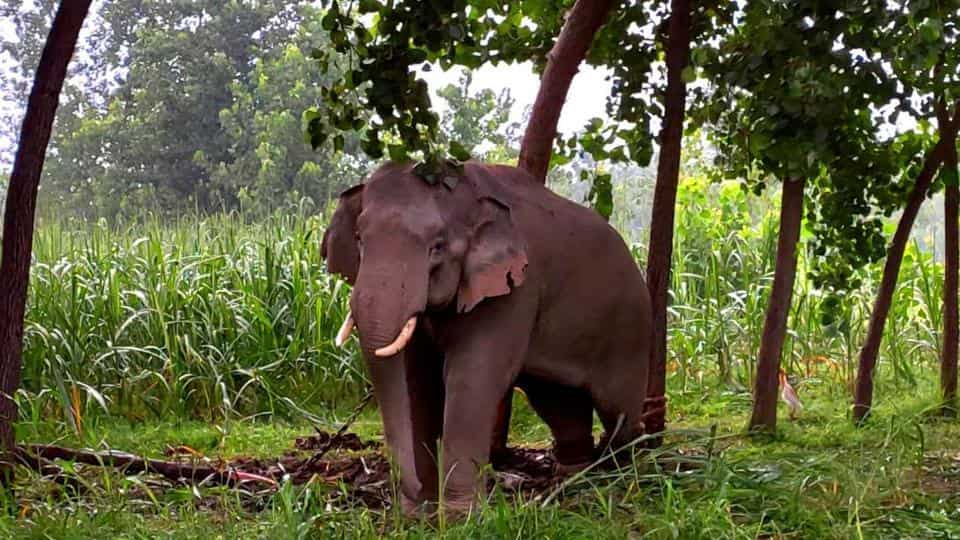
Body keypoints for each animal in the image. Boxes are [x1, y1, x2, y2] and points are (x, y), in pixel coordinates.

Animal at [321, 161, 652, 515]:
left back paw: (623, 476)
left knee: (617, 410)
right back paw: (573, 480)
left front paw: (459, 517)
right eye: (359, 238)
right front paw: (422, 513)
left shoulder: (516, 288)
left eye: (437, 246)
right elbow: (417, 380)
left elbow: (473, 376)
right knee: (559, 402)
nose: (414, 496)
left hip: (629, 329)